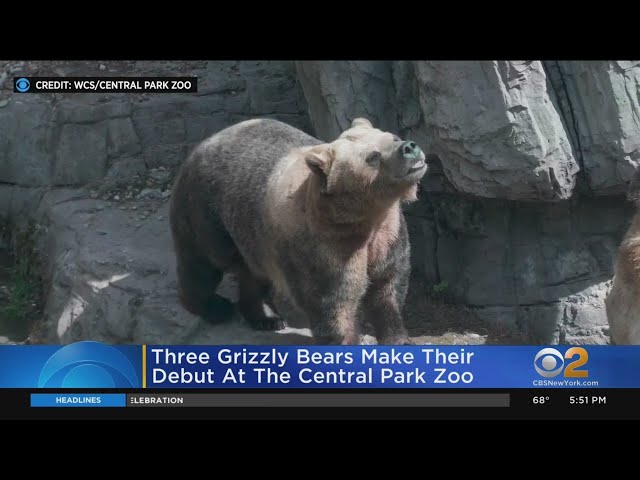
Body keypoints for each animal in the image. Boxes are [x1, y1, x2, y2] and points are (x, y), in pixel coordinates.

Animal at [170, 119, 430, 344]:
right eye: (372, 157)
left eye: (392, 137)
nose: (409, 147)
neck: (361, 218)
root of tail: (204, 143)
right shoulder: (324, 247)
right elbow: (333, 304)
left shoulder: (388, 233)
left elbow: (388, 286)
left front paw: (399, 340)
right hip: (206, 211)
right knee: (203, 263)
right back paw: (213, 307)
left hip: (252, 234)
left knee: (253, 272)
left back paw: (267, 317)